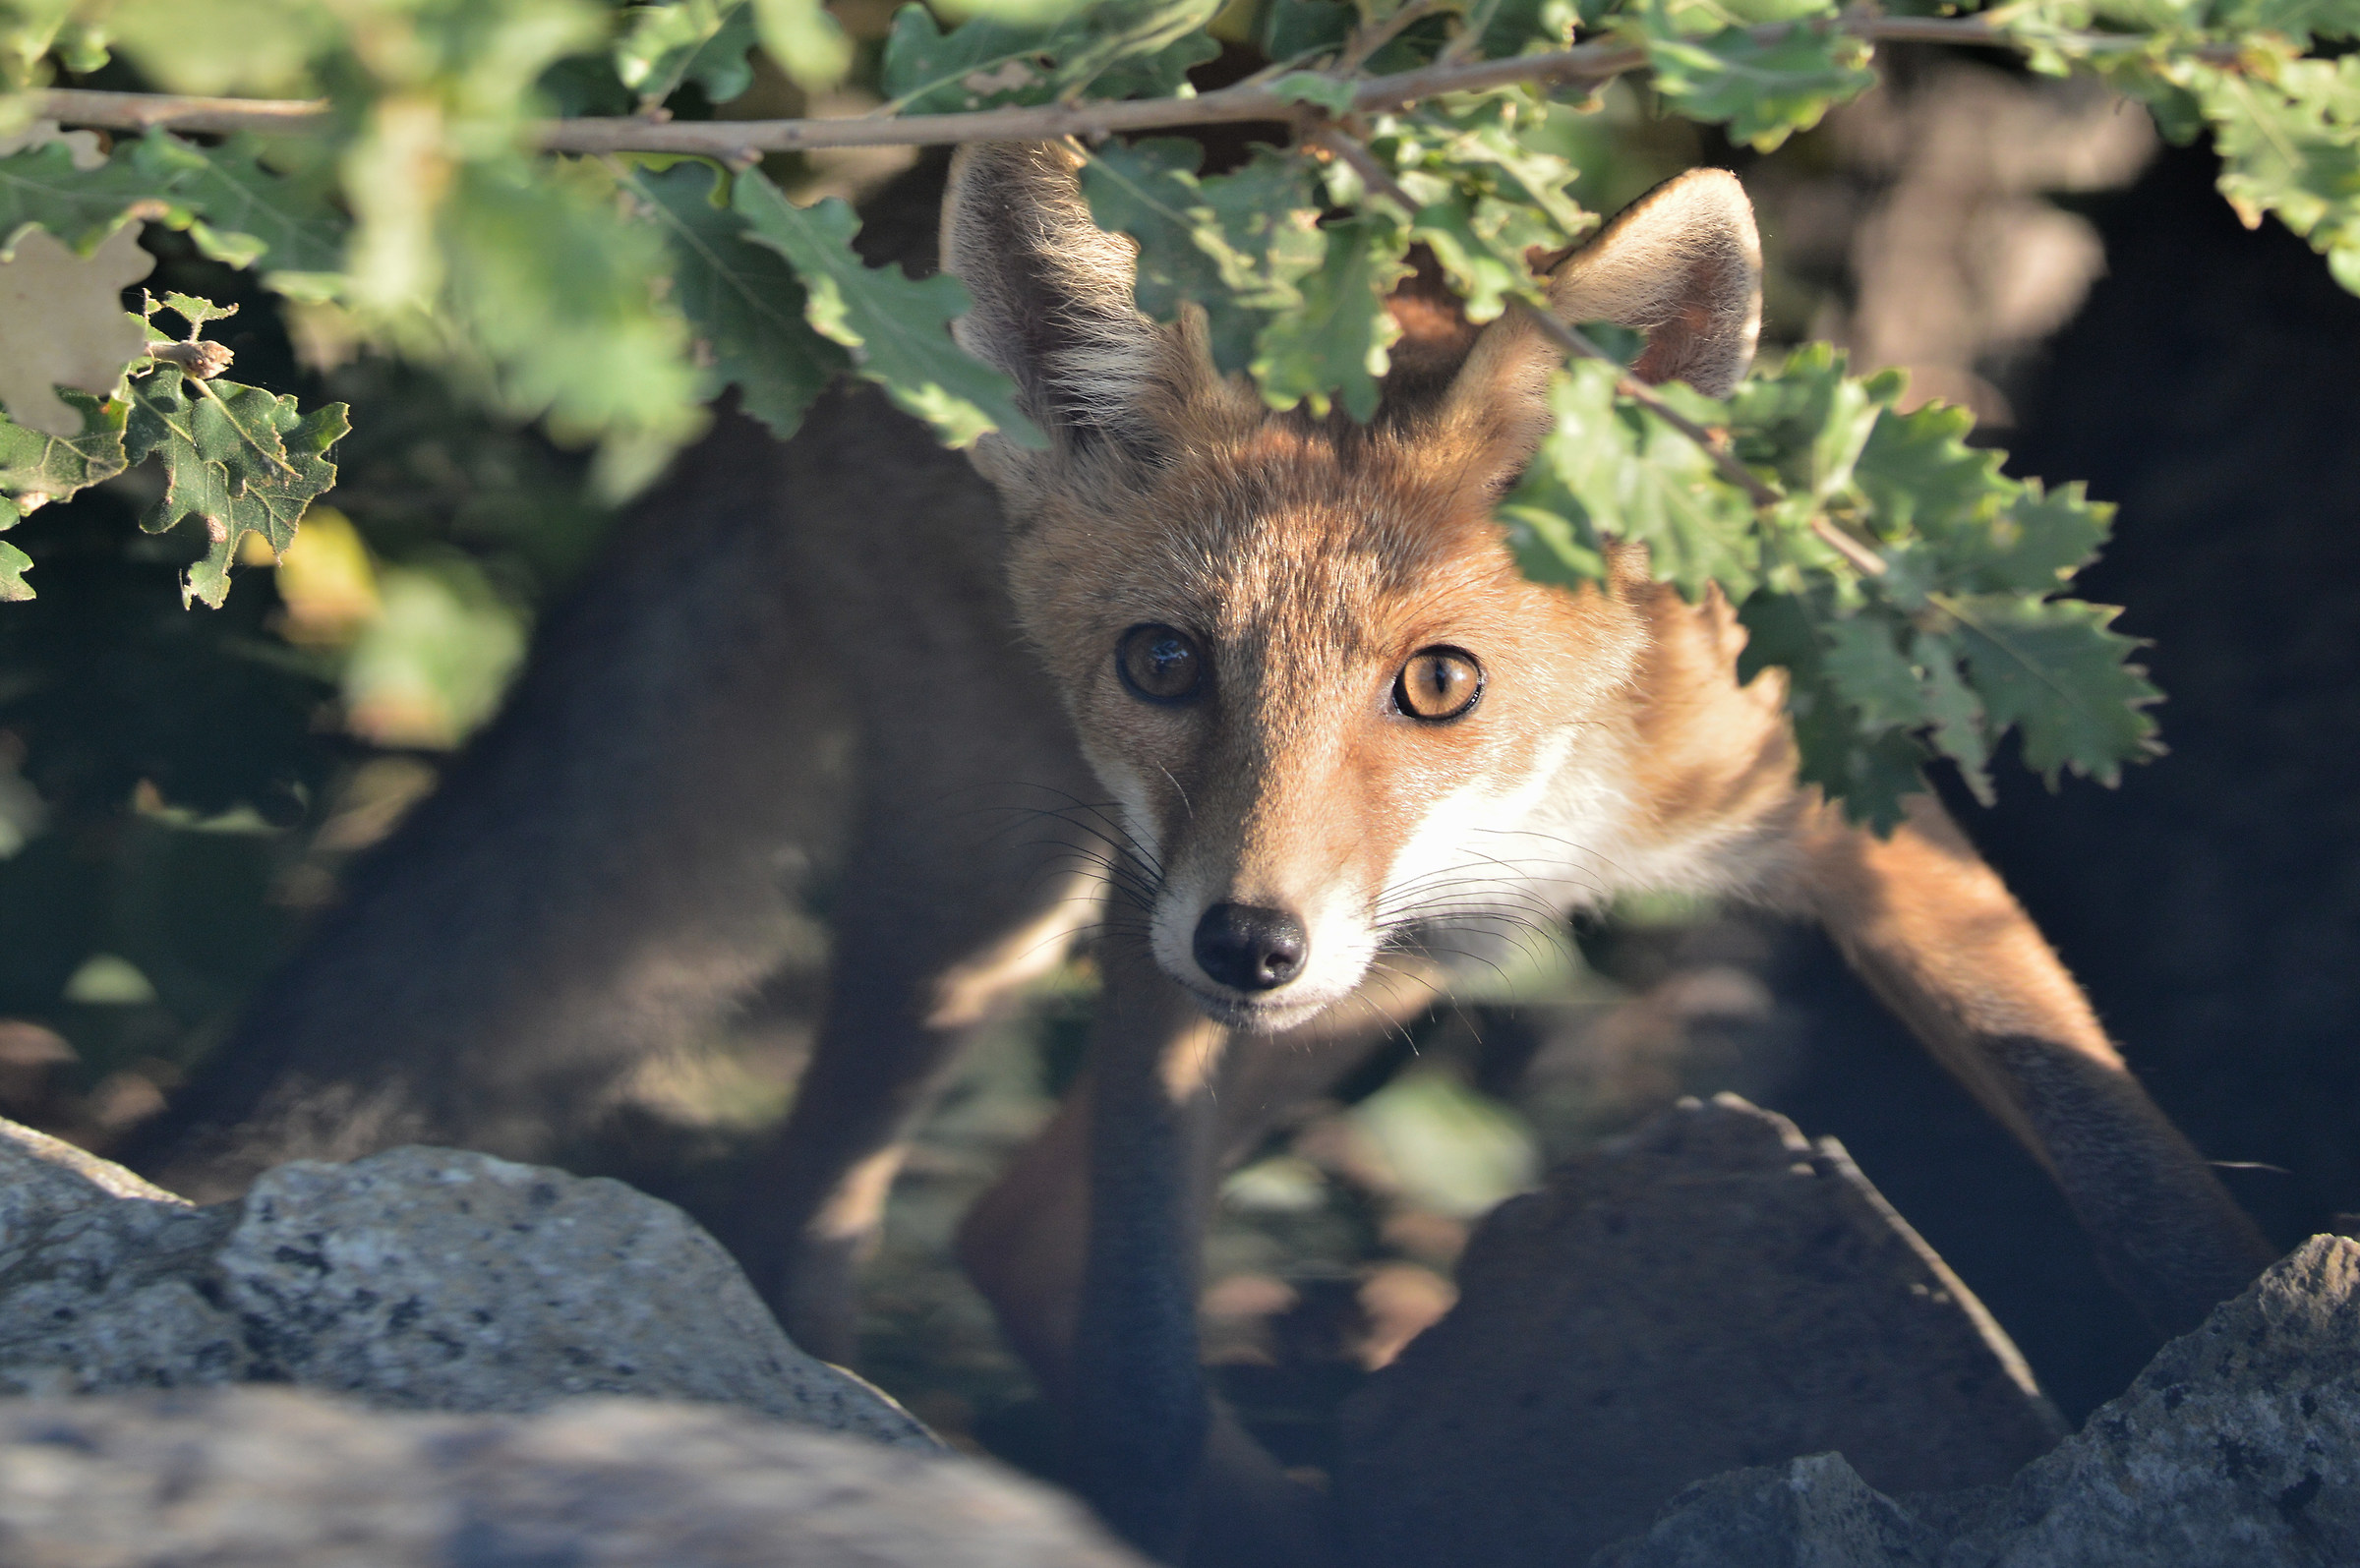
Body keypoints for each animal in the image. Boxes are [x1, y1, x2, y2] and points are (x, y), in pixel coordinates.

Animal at [128, 143, 2277, 1563]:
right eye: (1167, 661)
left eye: (1437, 683)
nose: (1248, 942)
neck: (1543, 803)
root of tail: (855, 239)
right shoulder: (1154, 942)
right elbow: (1152, 1352)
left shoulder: (1834, 804)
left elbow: (2119, 1153)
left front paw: (2242, 1352)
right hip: (996, 909)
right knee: (834, 1213)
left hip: (1373, 988)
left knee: (1007, 1227)